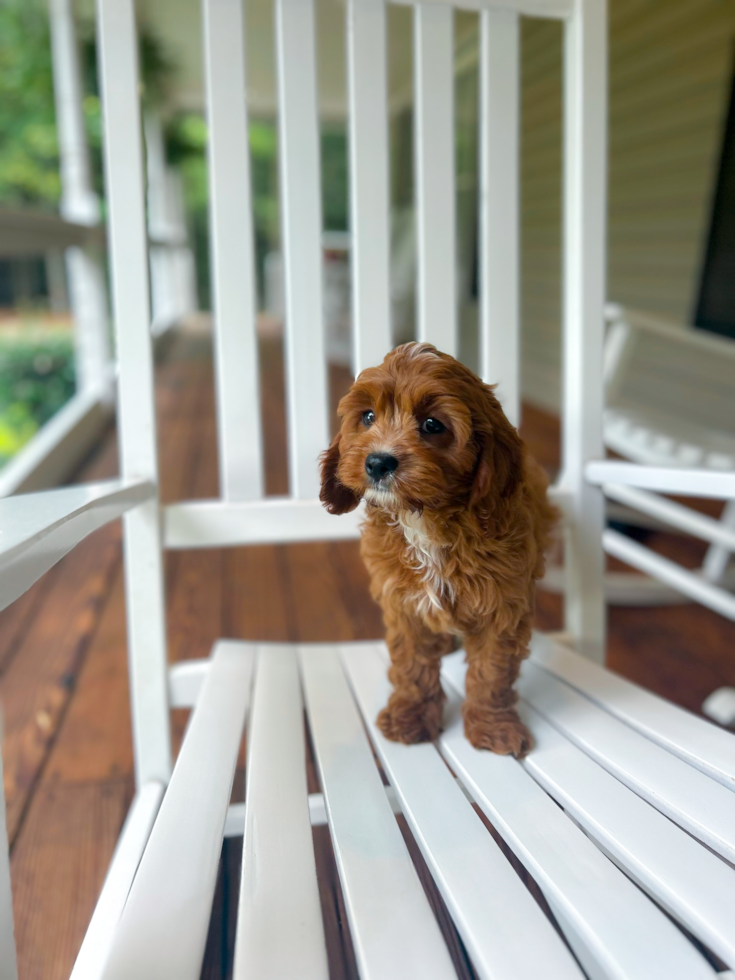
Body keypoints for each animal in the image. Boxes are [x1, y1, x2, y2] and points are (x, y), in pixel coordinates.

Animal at [320, 344, 556, 756]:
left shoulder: (503, 606)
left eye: (432, 425)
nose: (378, 462)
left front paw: (492, 726)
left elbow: (492, 671)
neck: (425, 520)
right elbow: (412, 664)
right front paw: (410, 717)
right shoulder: (403, 603)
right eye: (367, 416)